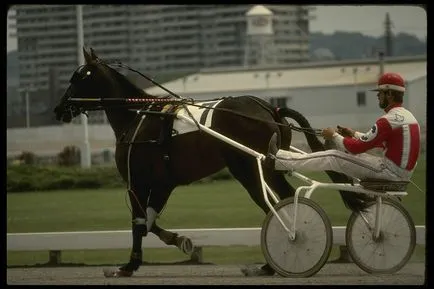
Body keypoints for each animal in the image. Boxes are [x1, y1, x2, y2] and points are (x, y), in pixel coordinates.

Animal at [52, 47, 368, 276]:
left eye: (77, 77)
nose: (59, 109)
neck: (138, 117)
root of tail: (270, 108)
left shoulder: (137, 181)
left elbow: (139, 223)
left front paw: (129, 265)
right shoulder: (163, 182)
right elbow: (150, 222)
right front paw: (179, 241)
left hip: (247, 169)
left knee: (273, 206)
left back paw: (275, 258)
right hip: (268, 166)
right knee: (286, 198)